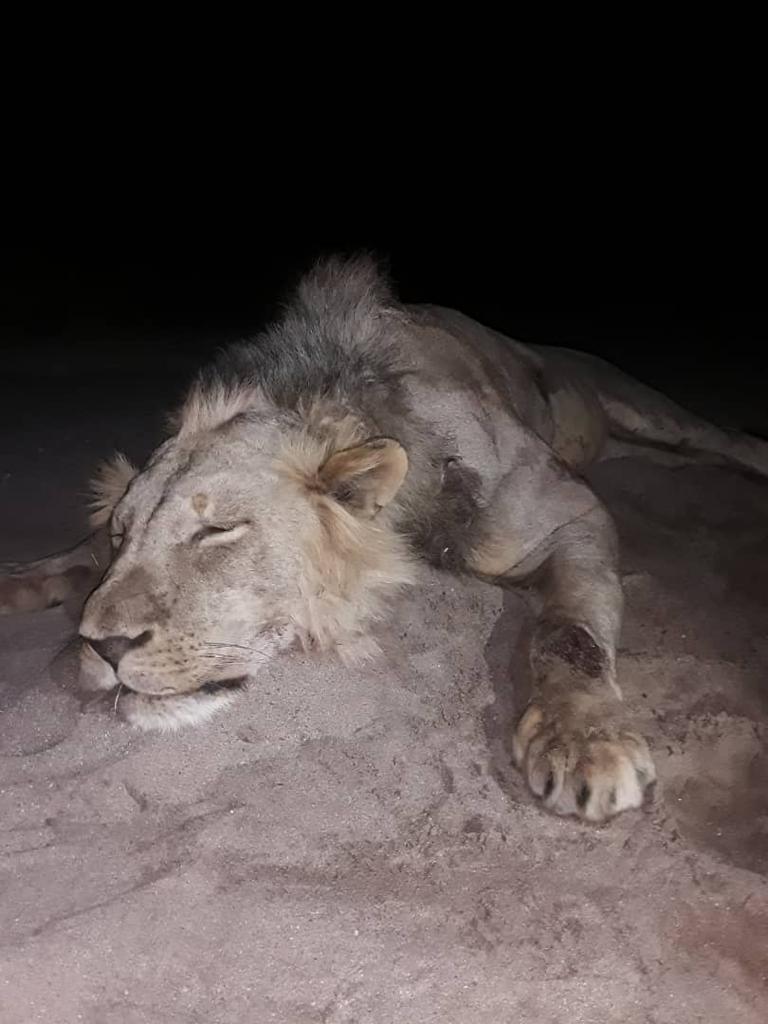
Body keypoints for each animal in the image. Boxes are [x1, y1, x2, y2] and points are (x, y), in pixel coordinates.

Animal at [2, 256, 766, 822]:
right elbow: (67, 561)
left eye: (218, 529)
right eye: (121, 534)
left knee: (723, 439)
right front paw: (22, 579)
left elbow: (568, 629)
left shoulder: (570, 513)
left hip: (643, 406)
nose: (104, 648)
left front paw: (583, 741)